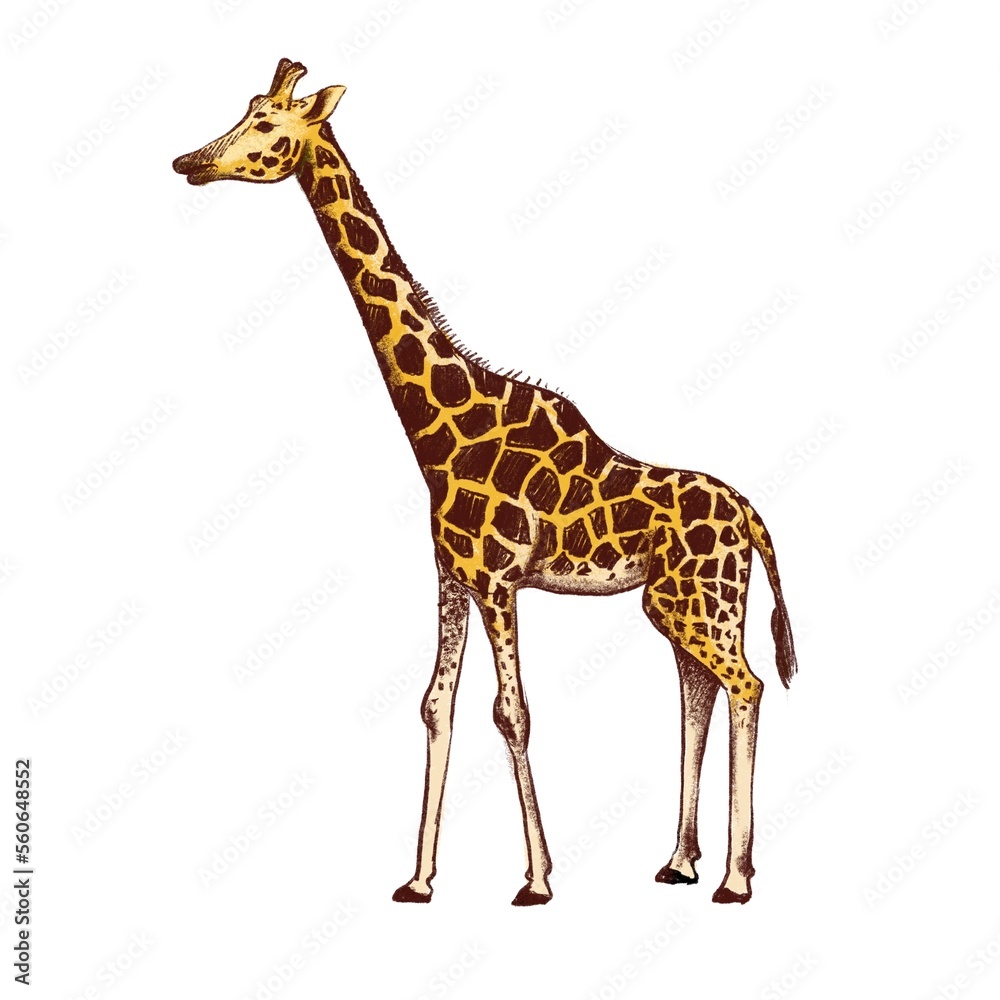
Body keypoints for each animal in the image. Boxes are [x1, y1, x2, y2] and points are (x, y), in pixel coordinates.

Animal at [173, 59, 797, 906]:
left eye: (269, 124)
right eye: (243, 112)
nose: (190, 162)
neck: (439, 430)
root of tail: (754, 518)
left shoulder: (500, 579)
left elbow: (511, 712)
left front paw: (536, 879)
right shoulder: (452, 574)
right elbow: (436, 706)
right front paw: (418, 879)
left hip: (701, 602)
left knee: (748, 686)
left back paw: (734, 877)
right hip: (680, 604)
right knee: (700, 693)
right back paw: (679, 862)